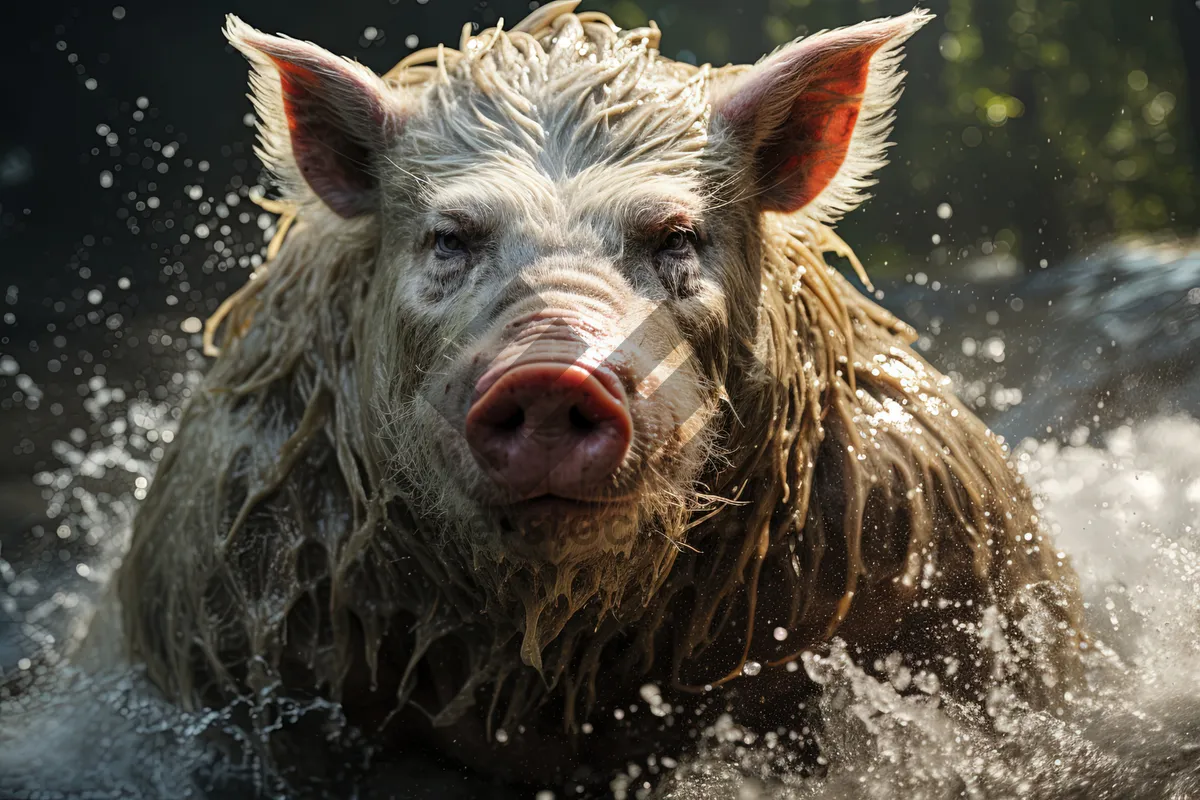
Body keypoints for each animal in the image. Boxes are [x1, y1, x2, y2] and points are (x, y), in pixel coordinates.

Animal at [114, 3, 1089, 796]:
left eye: (677, 236)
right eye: (449, 238)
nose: (551, 372)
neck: (553, 662)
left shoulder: (953, 546)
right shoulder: (227, 588)